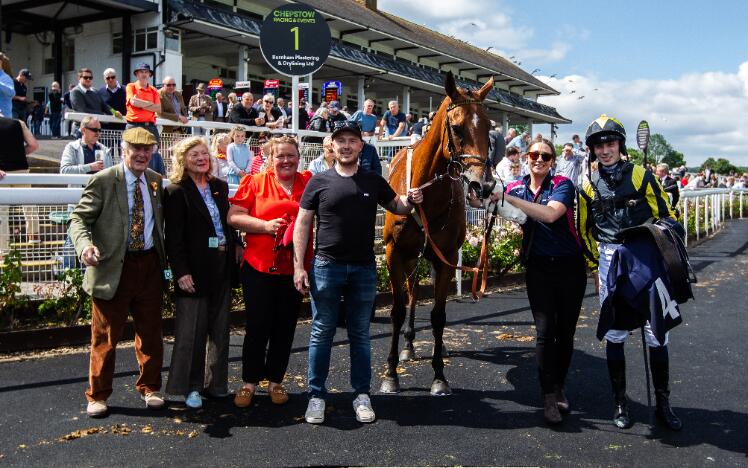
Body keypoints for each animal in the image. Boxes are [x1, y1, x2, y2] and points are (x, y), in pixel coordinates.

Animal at [380, 73, 496, 394]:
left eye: (489, 128)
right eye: (456, 128)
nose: (483, 186)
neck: (423, 194)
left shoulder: (447, 257)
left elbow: (439, 314)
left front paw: (439, 374)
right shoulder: (394, 252)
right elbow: (397, 310)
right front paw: (391, 374)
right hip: (411, 256)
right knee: (411, 292)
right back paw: (408, 345)